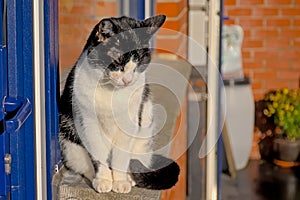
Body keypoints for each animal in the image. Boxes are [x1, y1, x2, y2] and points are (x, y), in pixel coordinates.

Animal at [59, 14, 179, 193]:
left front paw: (121, 181)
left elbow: (122, 157)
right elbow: (97, 153)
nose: (128, 80)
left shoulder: (129, 122)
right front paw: (103, 179)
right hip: (69, 143)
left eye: (141, 63)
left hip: (145, 132)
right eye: (117, 61)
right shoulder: (87, 122)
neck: (112, 93)